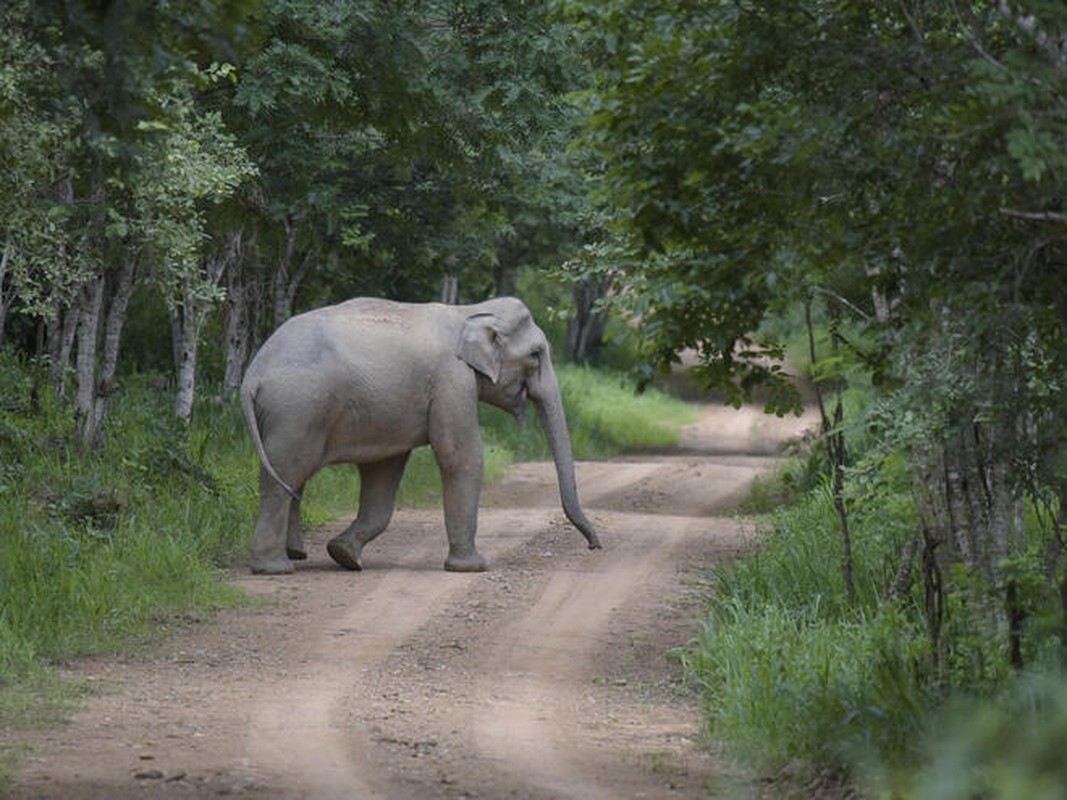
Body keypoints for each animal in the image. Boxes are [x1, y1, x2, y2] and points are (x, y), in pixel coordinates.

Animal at [240, 296, 601, 576]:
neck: (469, 312)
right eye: (536, 354)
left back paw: (296, 555)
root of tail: (253, 374)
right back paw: (274, 568)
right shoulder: (452, 381)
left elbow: (383, 474)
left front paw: (345, 556)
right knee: (283, 476)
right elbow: (461, 456)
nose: (594, 546)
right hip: (297, 410)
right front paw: (472, 568)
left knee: (293, 479)